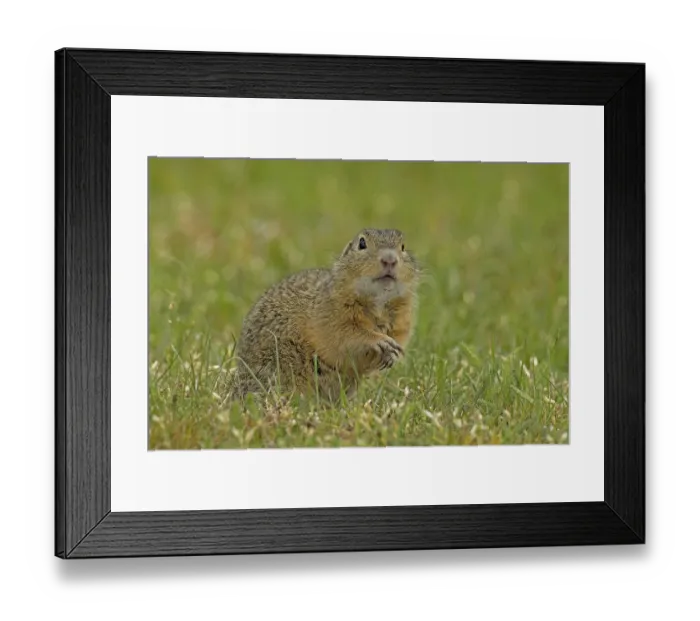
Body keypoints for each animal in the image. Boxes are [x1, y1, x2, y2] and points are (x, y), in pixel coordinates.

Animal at [229, 228, 421, 404]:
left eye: (403, 246)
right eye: (362, 243)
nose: (389, 259)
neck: (378, 303)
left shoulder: (401, 323)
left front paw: (393, 354)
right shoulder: (332, 316)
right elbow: (348, 336)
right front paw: (379, 340)